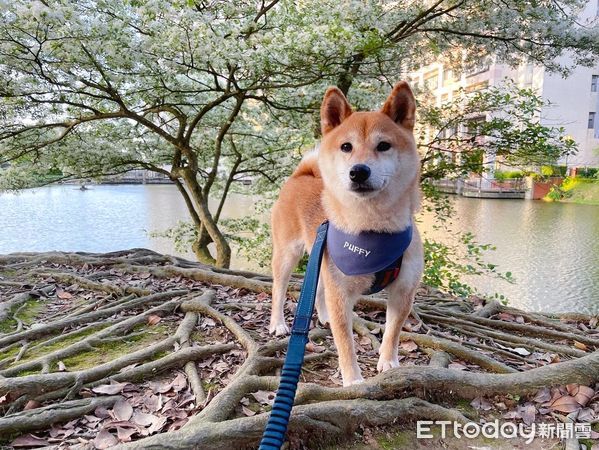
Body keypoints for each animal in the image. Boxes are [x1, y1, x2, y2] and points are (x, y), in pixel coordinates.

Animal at [270, 81, 424, 386]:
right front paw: (353, 379)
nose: (359, 171)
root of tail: (300, 176)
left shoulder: (403, 291)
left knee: (318, 290)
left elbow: (393, 331)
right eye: (346, 147)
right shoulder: (341, 292)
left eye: (383, 146)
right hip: (287, 255)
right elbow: (345, 342)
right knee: (278, 290)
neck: (372, 230)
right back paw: (278, 323)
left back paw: (323, 316)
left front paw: (389, 362)